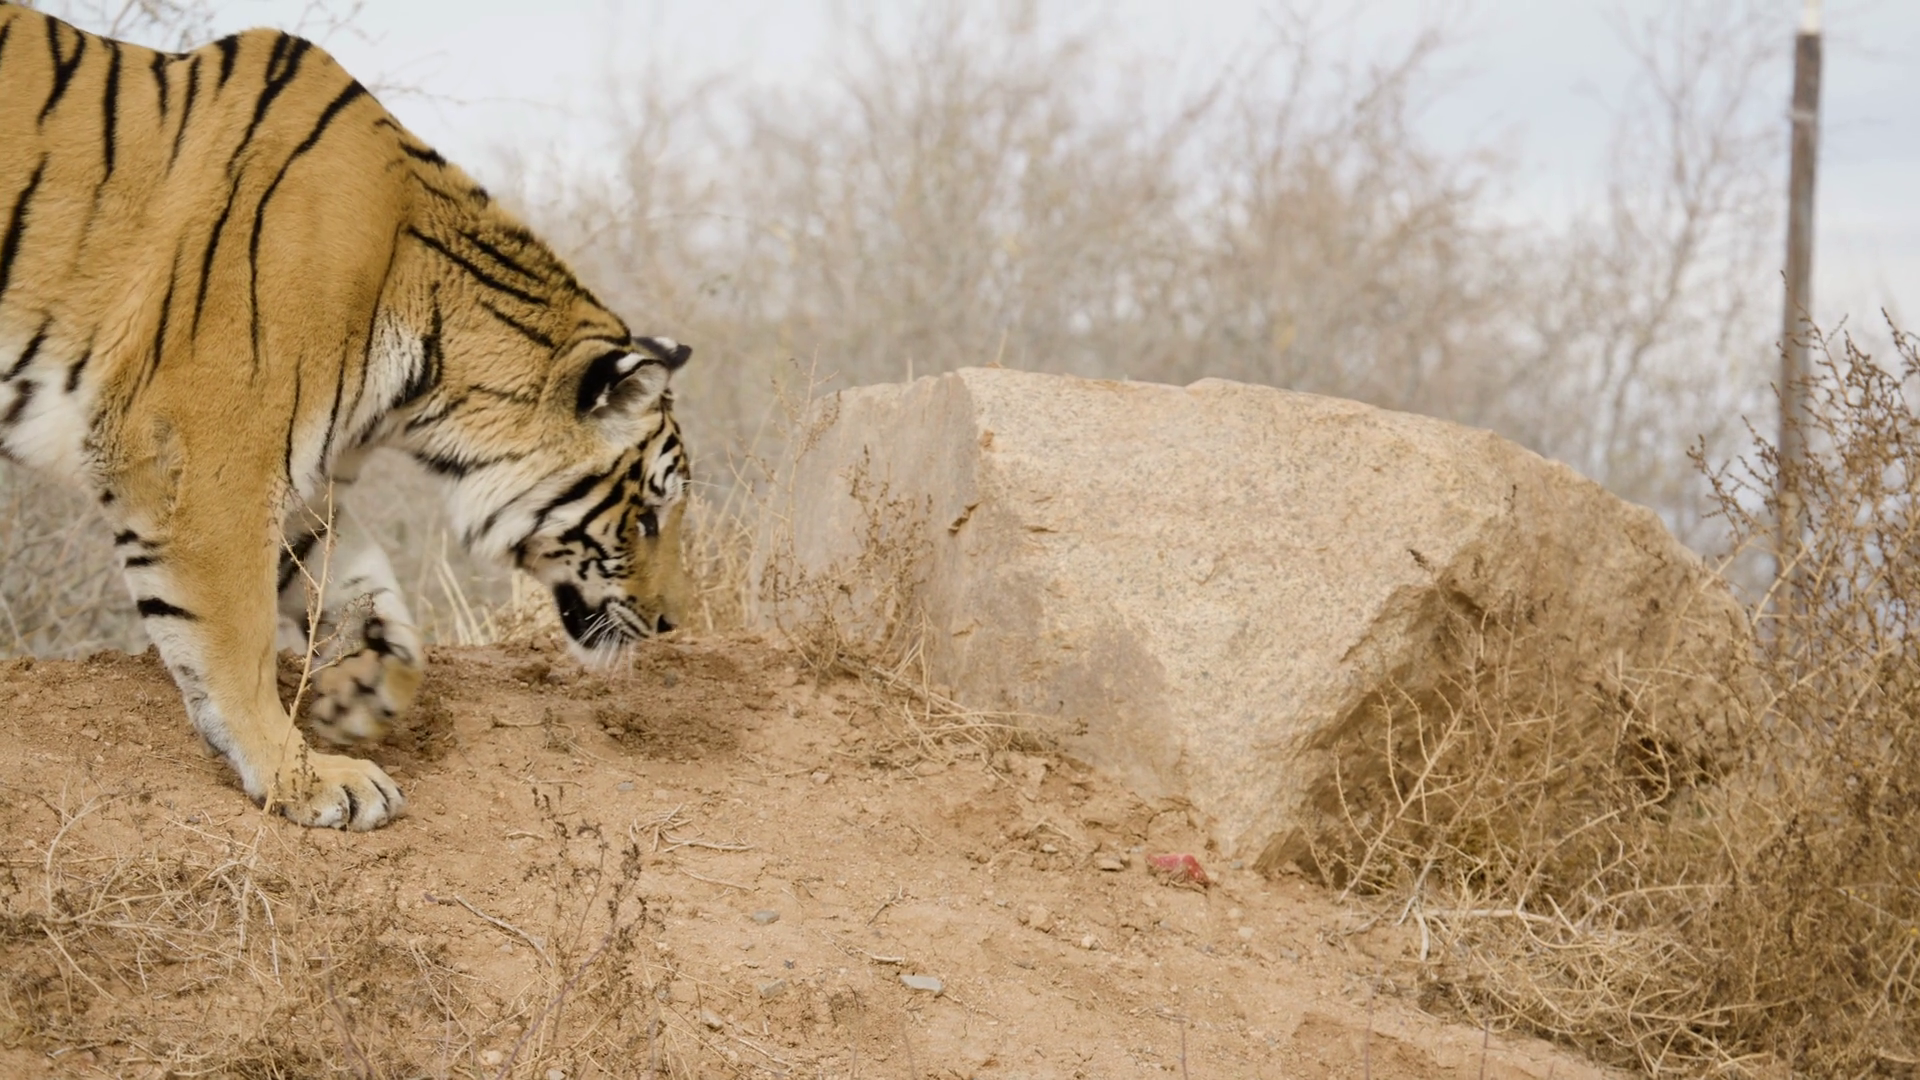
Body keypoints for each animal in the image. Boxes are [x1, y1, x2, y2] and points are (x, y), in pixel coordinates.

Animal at [0, 3, 694, 830]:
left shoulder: (302, 476)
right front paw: (307, 777)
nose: (671, 622)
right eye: (647, 516)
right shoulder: (208, 466)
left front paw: (358, 699)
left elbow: (372, 596)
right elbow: (235, 640)